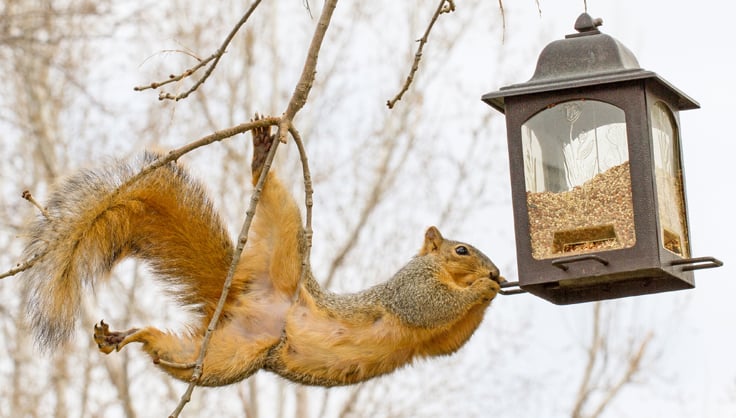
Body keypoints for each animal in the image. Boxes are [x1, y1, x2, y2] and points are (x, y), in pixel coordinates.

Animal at [17, 119, 504, 386]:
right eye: (461, 250)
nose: (497, 271)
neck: (437, 268)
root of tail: (242, 296)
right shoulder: (409, 288)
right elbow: (429, 306)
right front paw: (483, 288)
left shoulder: (433, 344)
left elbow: (450, 339)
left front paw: (493, 288)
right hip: (285, 243)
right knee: (274, 200)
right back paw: (260, 157)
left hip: (225, 357)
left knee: (171, 354)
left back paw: (127, 336)